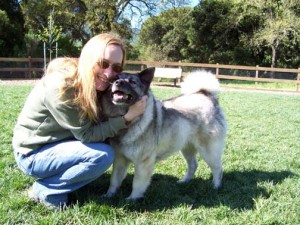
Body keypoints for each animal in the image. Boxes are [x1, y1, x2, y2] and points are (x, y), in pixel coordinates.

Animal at [99, 67, 226, 200]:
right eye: (115, 79)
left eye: (132, 82)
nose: (118, 82)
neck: (129, 121)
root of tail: (206, 96)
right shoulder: (120, 160)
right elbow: (114, 180)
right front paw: (109, 195)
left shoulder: (143, 163)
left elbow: (137, 183)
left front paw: (132, 199)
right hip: (187, 148)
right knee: (193, 165)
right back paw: (184, 181)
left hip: (208, 151)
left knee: (218, 168)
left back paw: (216, 186)